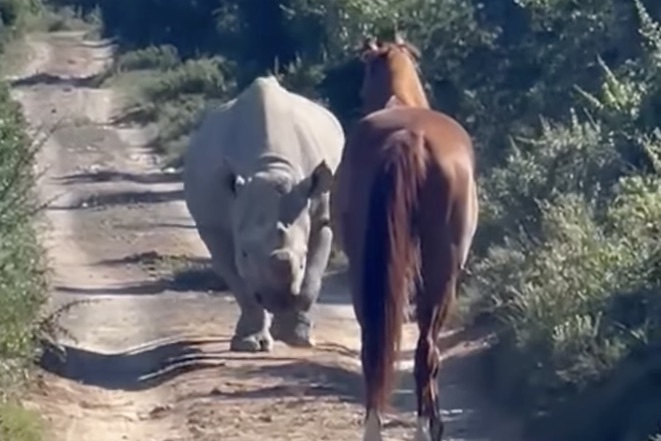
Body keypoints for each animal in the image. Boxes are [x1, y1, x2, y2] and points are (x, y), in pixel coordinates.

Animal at [182, 75, 342, 350]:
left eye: (303, 256)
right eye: (245, 253)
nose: (277, 301)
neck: (270, 167)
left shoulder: (321, 217)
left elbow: (312, 280)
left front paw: (297, 338)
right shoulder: (215, 229)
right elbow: (240, 285)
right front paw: (250, 344)